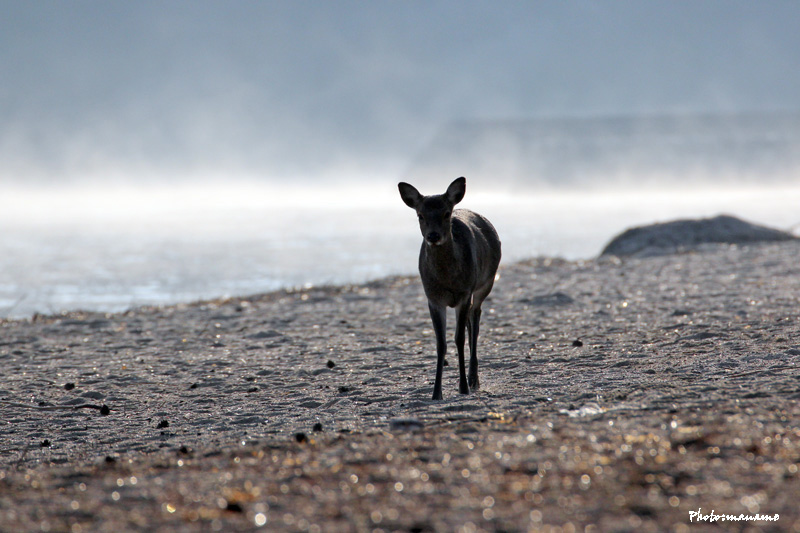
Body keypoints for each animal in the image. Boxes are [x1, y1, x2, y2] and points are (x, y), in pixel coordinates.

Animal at [398, 178, 504, 400]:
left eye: (446, 213)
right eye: (420, 215)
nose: (433, 236)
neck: (447, 280)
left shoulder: (464, 294)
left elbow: (459, 339)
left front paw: (463, 387)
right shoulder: (433, 298)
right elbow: (441, 344)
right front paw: (436, 392)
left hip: (485, 284)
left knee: (475, 319)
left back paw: (473, 380)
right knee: (471, 322)